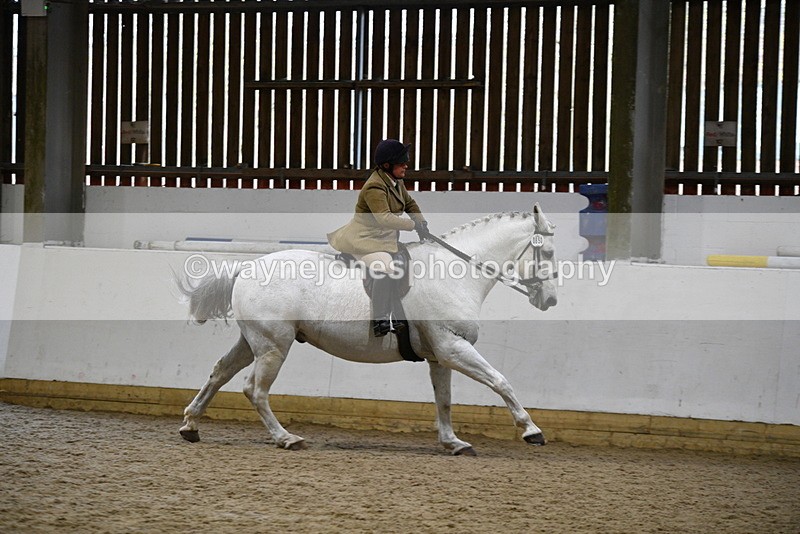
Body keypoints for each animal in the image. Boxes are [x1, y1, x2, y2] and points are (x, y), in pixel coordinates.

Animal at [176, 202, 558, 455]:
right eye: (549, 253)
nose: (550, 300)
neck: (455, 273)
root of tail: (247, 267)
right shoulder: (454, 348)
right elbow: (500, 381)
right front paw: (531, 430)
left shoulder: (441, 356)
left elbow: (445, 400)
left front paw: (453, 442)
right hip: (274, 346)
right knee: (254, 390)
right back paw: (287, 438)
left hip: (252, 341)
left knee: (220, 373)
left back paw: (191, 425)